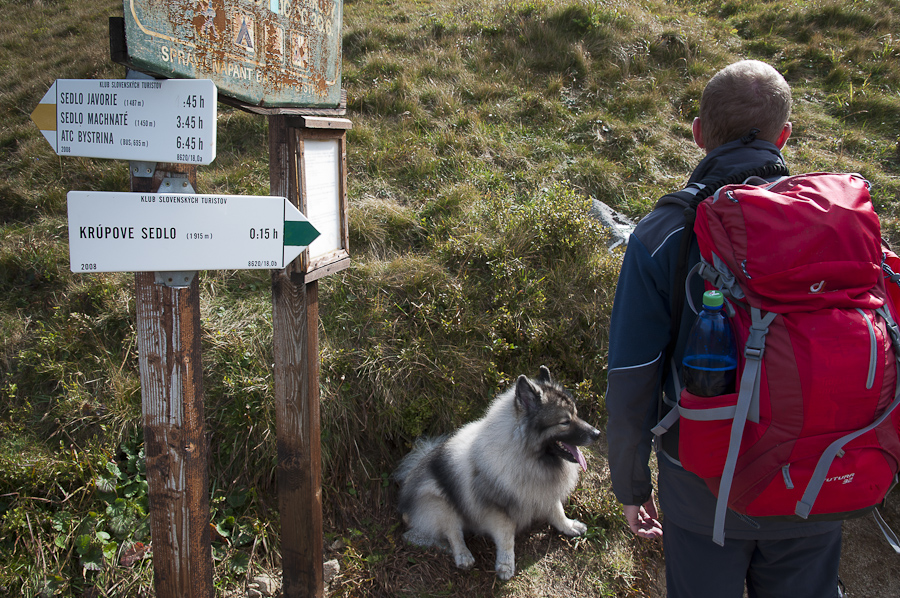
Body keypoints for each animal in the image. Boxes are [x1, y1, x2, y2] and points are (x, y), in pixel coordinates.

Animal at [392, 366, 596, 580]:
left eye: (576, 414)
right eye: (564, 422)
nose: (597, 434)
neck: (525, 455)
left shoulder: (546, 493)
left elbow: (557, 511)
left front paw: (569, 526)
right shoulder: (498, 510)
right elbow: (506, 539)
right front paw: (506, 565)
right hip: (439, 503)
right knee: (442, 533)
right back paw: (460, 554)